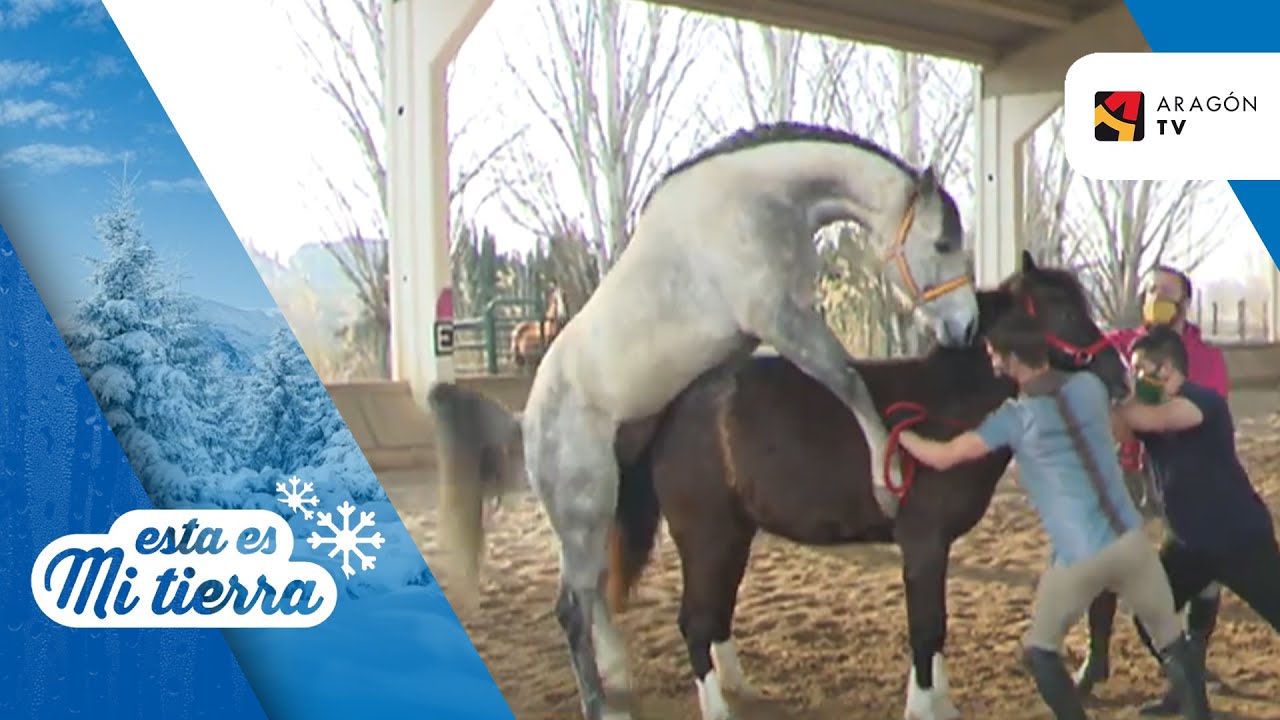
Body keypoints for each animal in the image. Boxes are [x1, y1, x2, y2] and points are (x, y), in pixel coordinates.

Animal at [424, 251, 1126, 717]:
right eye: (1063, 308)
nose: (1119, 375)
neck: (944, 407)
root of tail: (674, 406)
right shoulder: (923, 543)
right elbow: (926, 627)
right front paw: (927, 708)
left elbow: (932, 630)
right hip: (705, 534)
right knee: (692, 620)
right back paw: (713, 705)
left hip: (733, 535)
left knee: (714, 615)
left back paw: (739, 686)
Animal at [450, 124, 977, 717]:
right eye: (942, 244)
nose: (967, 327)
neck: (756, 200)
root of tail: (528, 424)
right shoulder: (780, 317)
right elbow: (848, 382)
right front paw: (888, 482)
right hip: (583, 514)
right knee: (571, 608)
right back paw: (599, 701)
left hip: (601, 509)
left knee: (595, 596)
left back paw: (618, 674)